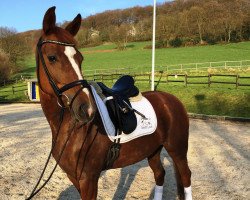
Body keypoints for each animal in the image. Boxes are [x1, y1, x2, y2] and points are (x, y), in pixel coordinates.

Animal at [32, 6, 192, 200]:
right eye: (52, 57)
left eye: (80, 58)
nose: (86, 109)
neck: (69, 129)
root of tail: (171, 99)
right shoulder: (75, 178)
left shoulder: (89, 178)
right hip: (153, 149)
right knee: (159, 174)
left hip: (178, 149)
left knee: (186, 176)